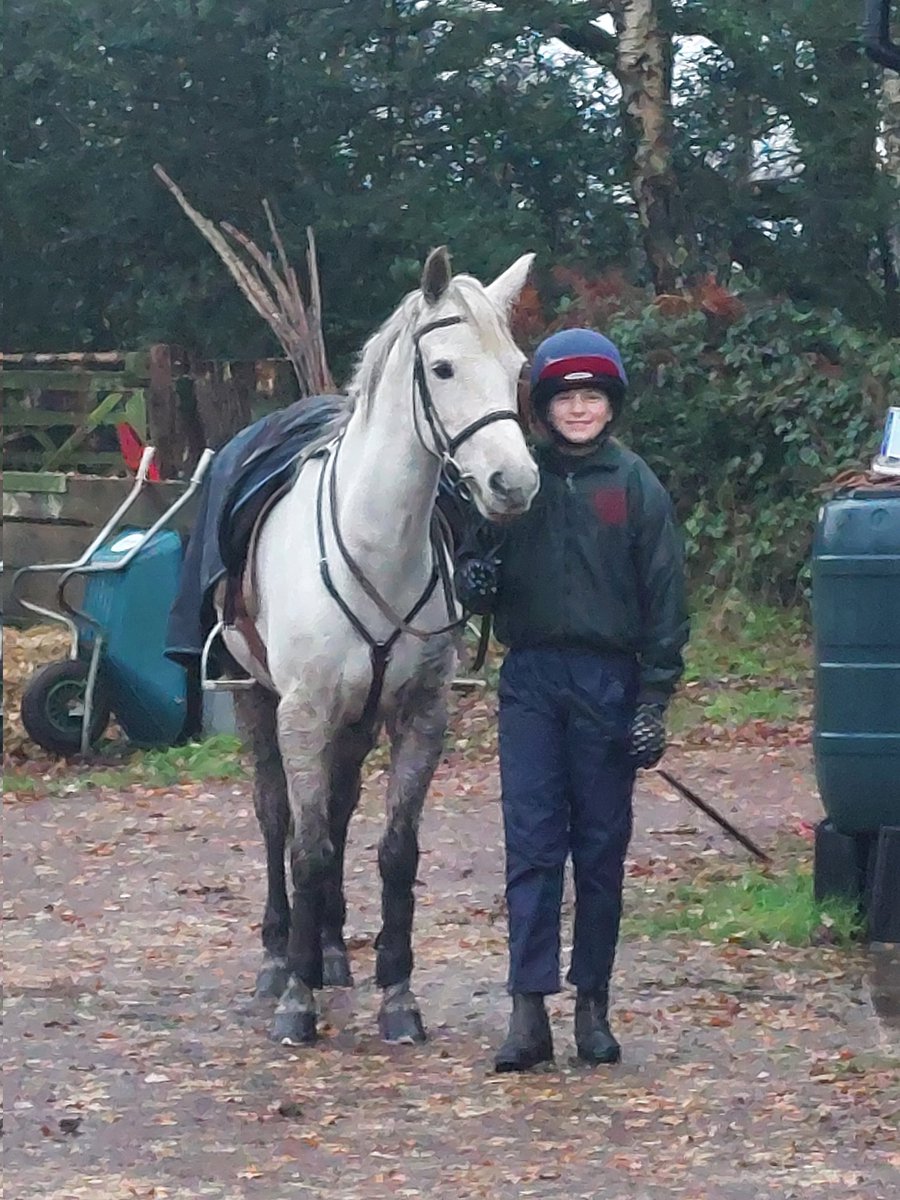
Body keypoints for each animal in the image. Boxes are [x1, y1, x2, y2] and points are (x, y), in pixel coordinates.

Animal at [226, 247, 540, 1046]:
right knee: (275, 818)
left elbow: (394, 849)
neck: (375, 546)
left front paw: (396, 992)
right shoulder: (301, 714)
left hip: (356, 722)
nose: (514, 482)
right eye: (444, 369)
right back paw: (278, 956)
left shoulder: (420, 715)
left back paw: (332, 951)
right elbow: (304, 847)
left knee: (338, 814)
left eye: (517, 366)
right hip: (252, 700)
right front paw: (296, 998)